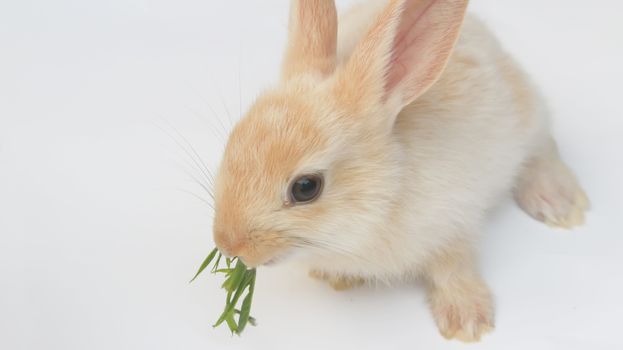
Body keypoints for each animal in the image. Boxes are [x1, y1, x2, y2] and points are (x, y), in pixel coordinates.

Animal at [210, 0, 588, 342]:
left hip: (526, 116)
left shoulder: (453, 222)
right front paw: (336, 279)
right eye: (233, 142)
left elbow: (453, 266)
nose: (229, 245)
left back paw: (561, 205)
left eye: (306, 187)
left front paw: (467, 323)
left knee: (542, 145)